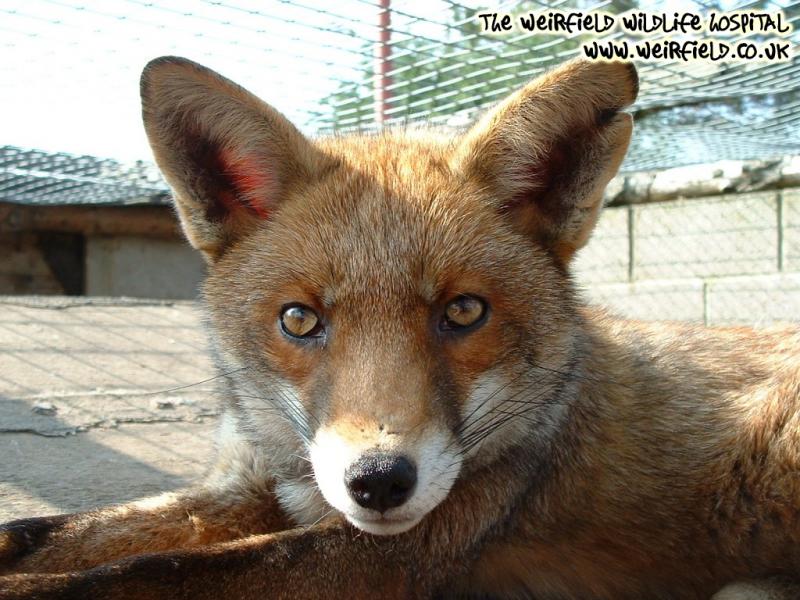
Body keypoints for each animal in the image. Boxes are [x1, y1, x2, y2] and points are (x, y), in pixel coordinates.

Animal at [1, 56, 800, 600]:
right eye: (299, 319)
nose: (378, 482)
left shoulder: (405, 546)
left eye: (463, 311)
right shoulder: (243, 489)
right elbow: (49, 535)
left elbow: (138, 573)